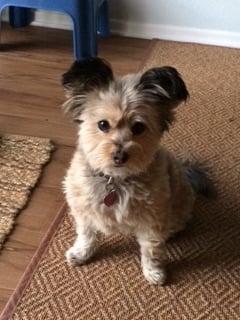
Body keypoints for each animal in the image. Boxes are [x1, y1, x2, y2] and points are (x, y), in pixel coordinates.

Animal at [61, 57, 213, 284]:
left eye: (139, 127)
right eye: (103, 124)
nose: (119, 156)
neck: (116, 180)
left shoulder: (152, 220)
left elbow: (151, 249)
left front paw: (154, 272)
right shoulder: (83, 209)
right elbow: (86, 234)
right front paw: (81, 253)